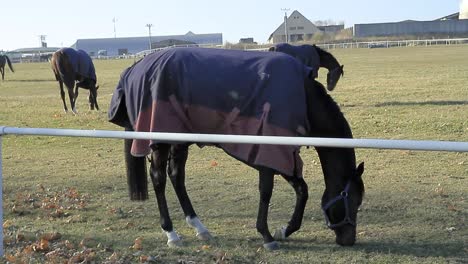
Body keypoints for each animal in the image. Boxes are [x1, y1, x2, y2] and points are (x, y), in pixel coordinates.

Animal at [108, 47, 364, 250]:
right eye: (354, 200)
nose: (348, 240)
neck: (303, 97)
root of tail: (134, 67)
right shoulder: (269, 149)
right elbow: (266, 191)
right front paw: (267, 235)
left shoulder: (285, 153)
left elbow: (302, 189)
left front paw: (285, 230)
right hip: (160, 141)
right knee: (159, 178)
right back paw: (171, 233)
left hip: (180, 140)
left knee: (176, 176)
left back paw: (199, 226)